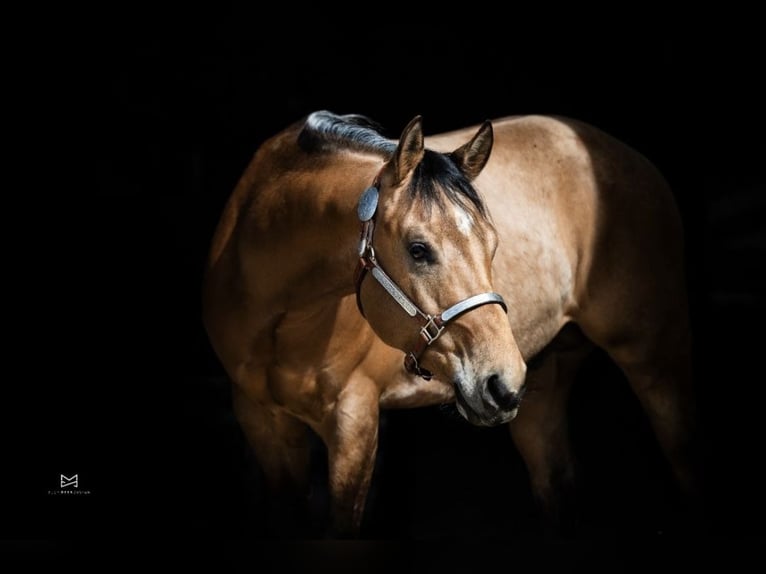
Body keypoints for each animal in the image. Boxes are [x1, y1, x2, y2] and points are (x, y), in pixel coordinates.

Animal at [202, 111, 704, 540]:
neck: (285, 316)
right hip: (545, 388)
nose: (501, 381)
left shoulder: (354, 421)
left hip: (656, 365)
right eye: (418, 249)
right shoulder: (261, 421)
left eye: (492, 243)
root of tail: (632, 160)